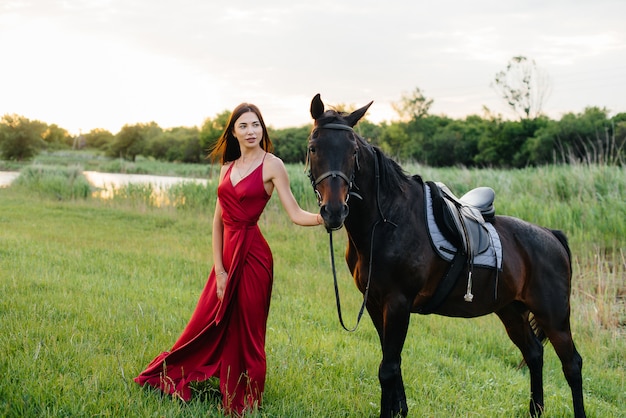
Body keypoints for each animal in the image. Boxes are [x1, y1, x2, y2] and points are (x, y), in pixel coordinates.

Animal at [308, 94, 584, 418]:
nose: (334, 211)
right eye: (313, 148)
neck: (388, 222)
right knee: (534, 353)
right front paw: (401, 409)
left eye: (353, 152)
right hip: (510, 310)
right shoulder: (375, 303)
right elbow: (392, 363)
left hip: (554, 317)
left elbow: (387, 369)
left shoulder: (398, 303)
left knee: (572, 365)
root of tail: (551, 235)